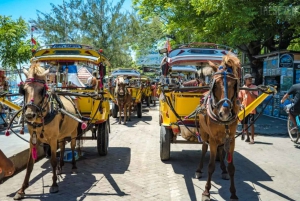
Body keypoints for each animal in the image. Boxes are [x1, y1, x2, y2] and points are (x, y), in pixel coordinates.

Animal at [13, 62, 79, 199]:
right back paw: (61, 167)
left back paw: (74, 165)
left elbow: (52, 161)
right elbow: (29, 165)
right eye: (24, 90)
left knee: (73, 147)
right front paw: (21, 190)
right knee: (63, 146)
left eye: (41, 90)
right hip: (61, 134)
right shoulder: (33, 139)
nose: (29, 115)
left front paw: (54, 184)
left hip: (73, 132)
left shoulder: (53, 140)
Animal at [196, 54, 240, 200]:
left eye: (234, 84)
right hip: (204, 133)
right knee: (204, 149)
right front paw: (206, 191)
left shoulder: (231, 139)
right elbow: (210, 166)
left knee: (221, 151)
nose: (224, 113)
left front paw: (233, 193)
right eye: (215, 84)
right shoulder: (213, 139)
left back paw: (223, 169)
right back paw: (199, 170)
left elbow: (232, 167)